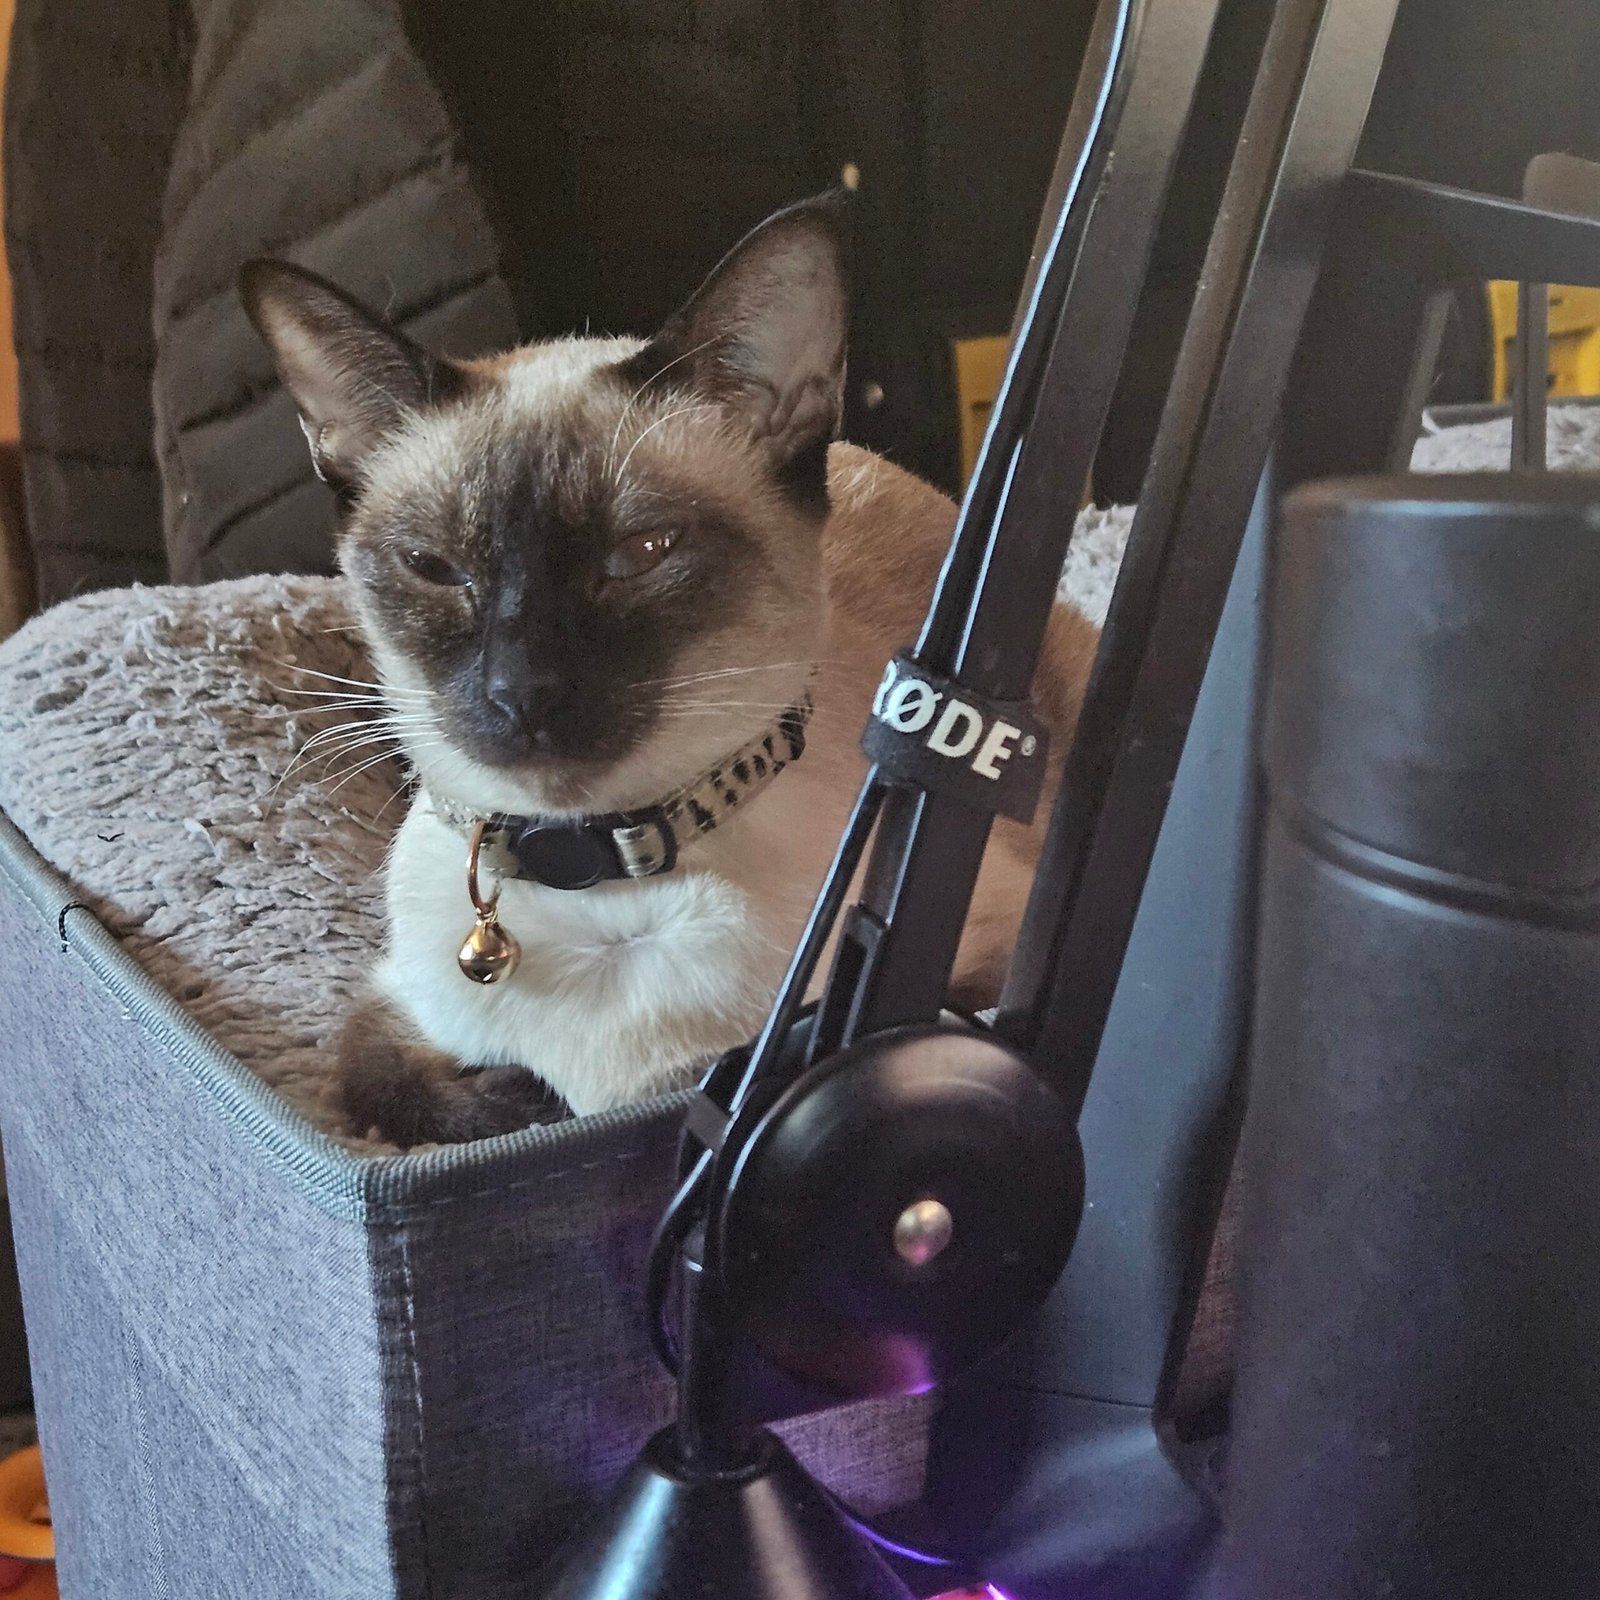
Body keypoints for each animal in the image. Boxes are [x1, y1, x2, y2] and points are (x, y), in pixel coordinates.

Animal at [242, 193, 1100, 1147]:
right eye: (435, 568)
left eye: (642, 554)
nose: (521, 694)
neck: (598, 887)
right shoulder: (395, 1002)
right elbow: (381, 1076)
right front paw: (529, 1096)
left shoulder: (977, 966)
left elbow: (749, 1064)